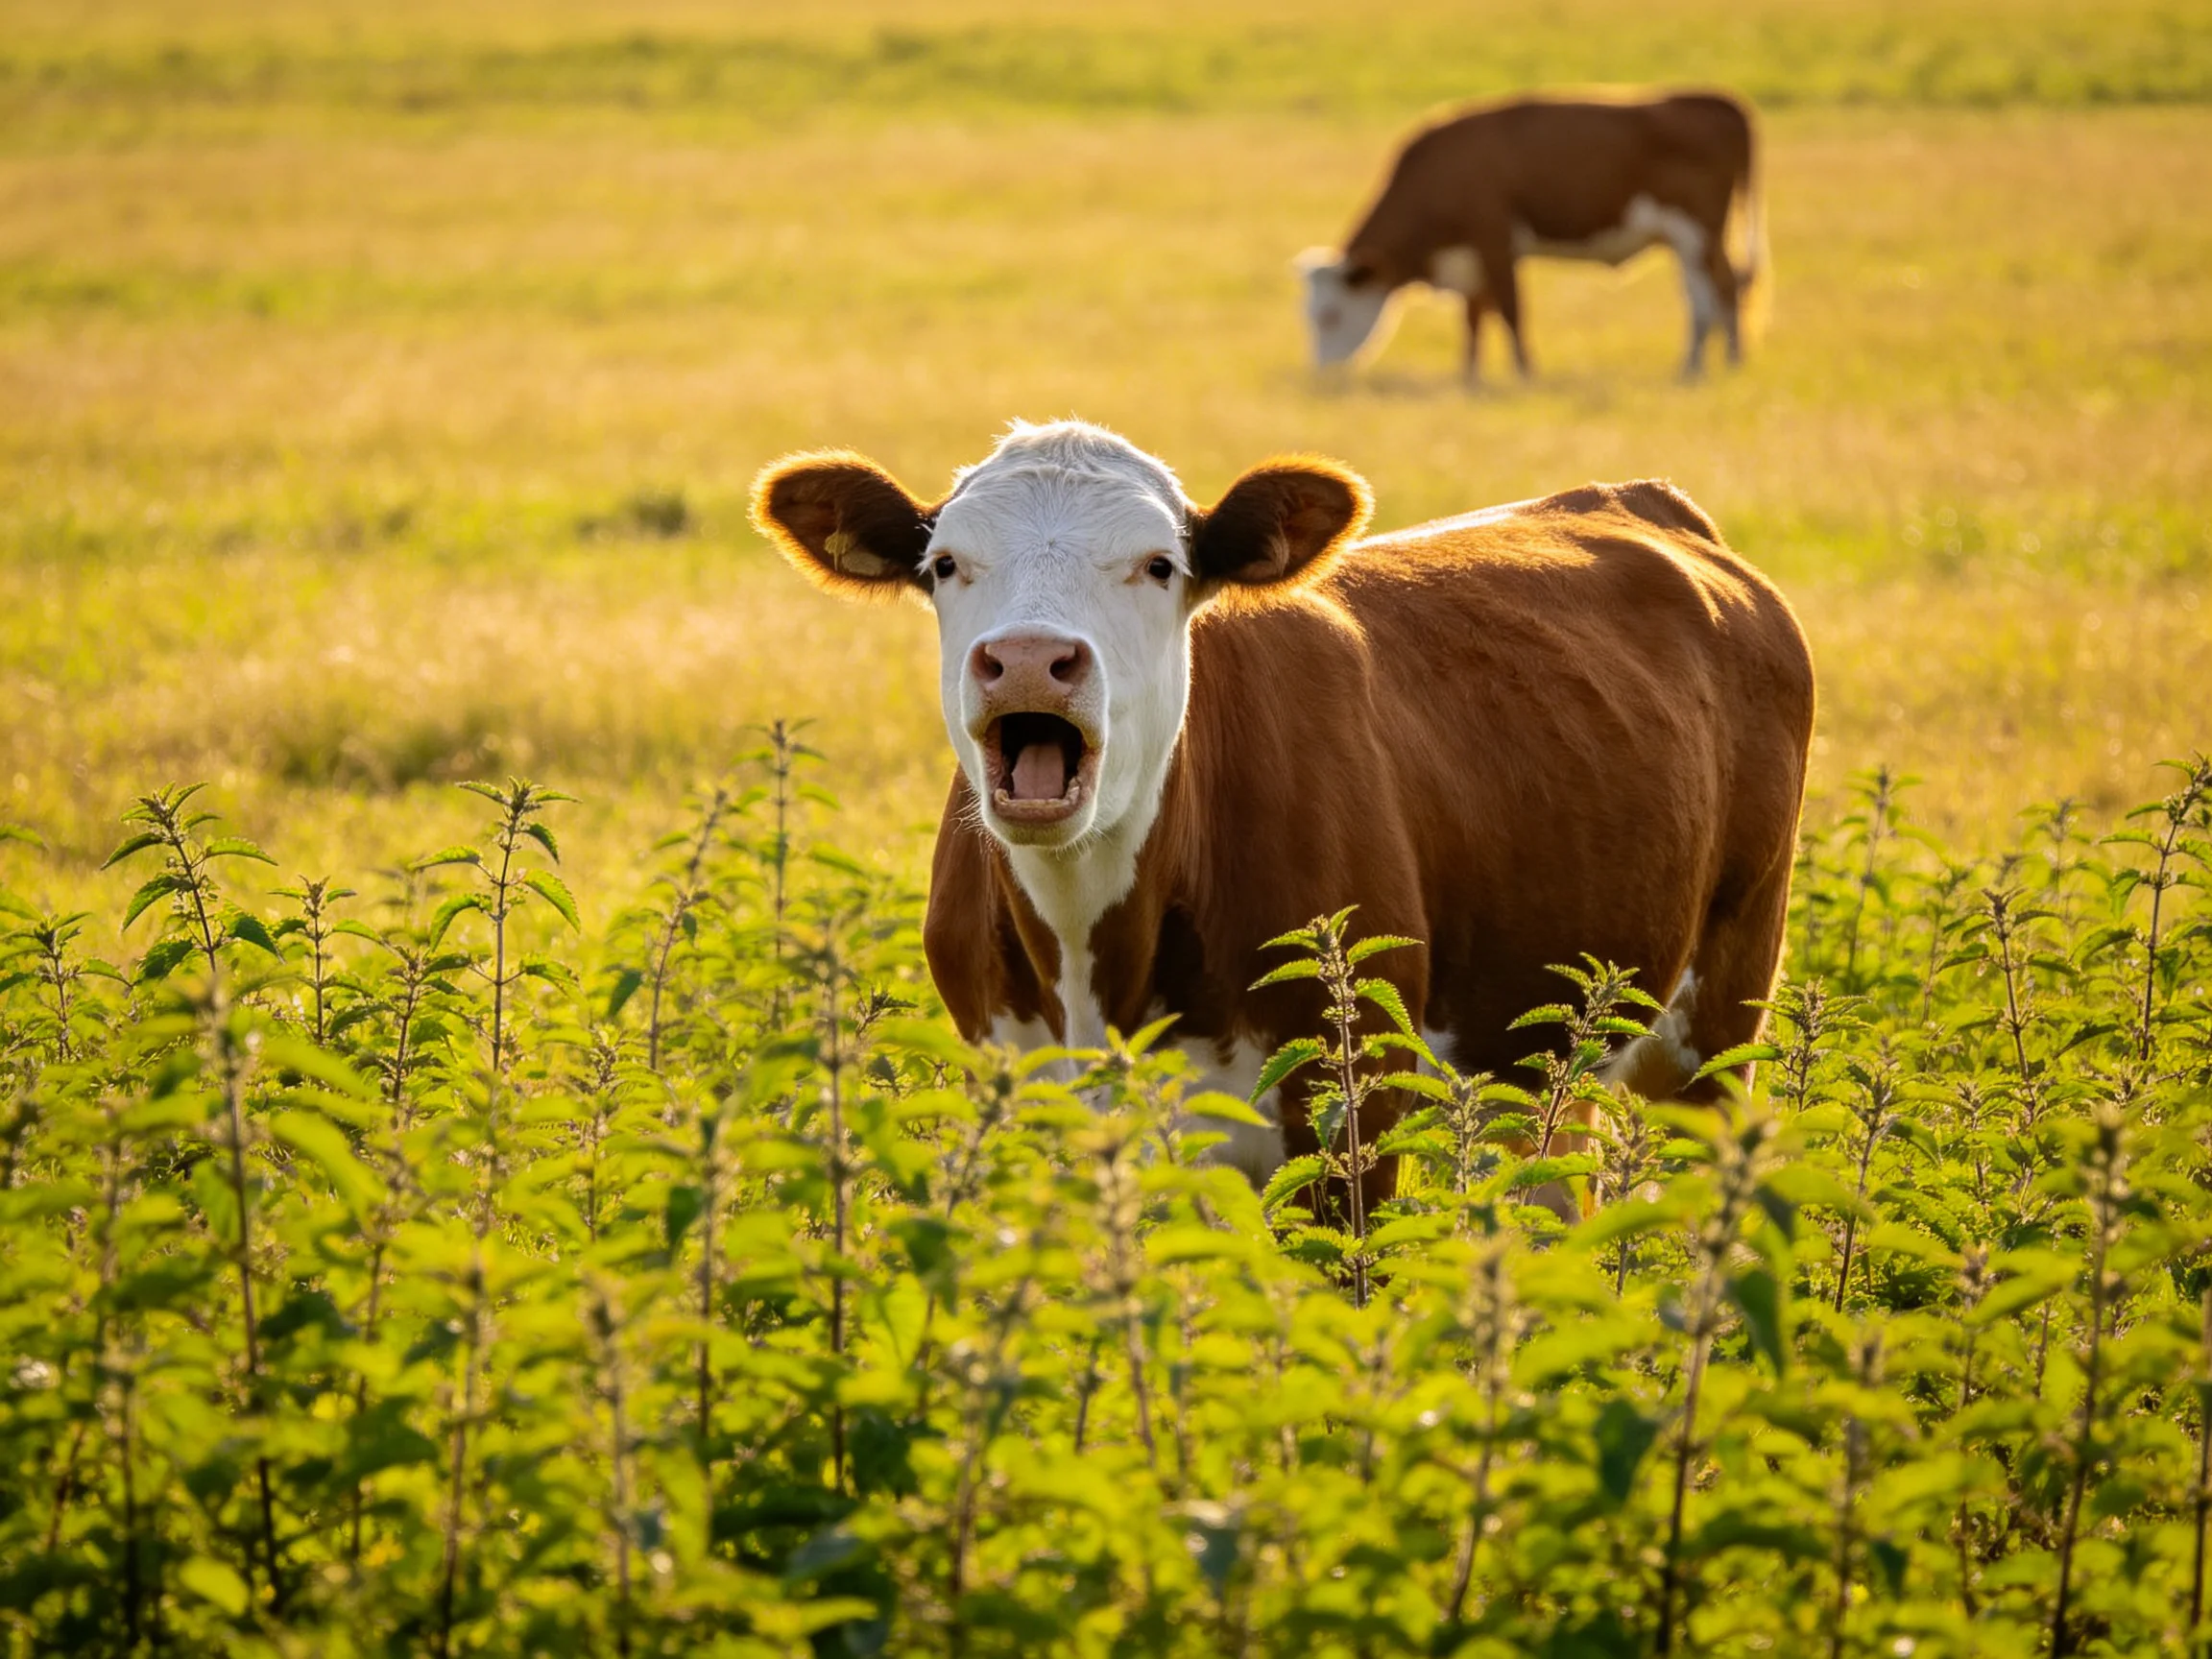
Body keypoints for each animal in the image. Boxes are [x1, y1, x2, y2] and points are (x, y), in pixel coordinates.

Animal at [752, 420, 1814, 1208]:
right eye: (944, 565)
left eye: (1159, 565)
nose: (1024, 660)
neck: (1099, 961)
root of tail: (1644, 500)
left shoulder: (1348, 1111)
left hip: (1725, 1010)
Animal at [1299, 92, 1766, 383]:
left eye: (1330, 315)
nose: (1322, 374)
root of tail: (1714, 101)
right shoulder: (1471, 258)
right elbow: (1473, 317)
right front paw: (1470, 377)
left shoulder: (1494, 242)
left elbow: (1509, 311)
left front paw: (1524, 375)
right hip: (1685, 240)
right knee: (1705, 295)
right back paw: (1701, 365)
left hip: (1697, 230)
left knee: (1723, 288)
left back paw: (1723, 363)